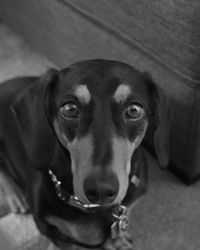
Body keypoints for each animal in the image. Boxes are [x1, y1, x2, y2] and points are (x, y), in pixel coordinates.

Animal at [0, 59, 170, 249]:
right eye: (70, 108)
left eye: (134, 109)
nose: (101, 189)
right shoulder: (49, 228)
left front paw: (119, 238)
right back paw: (15, 196)